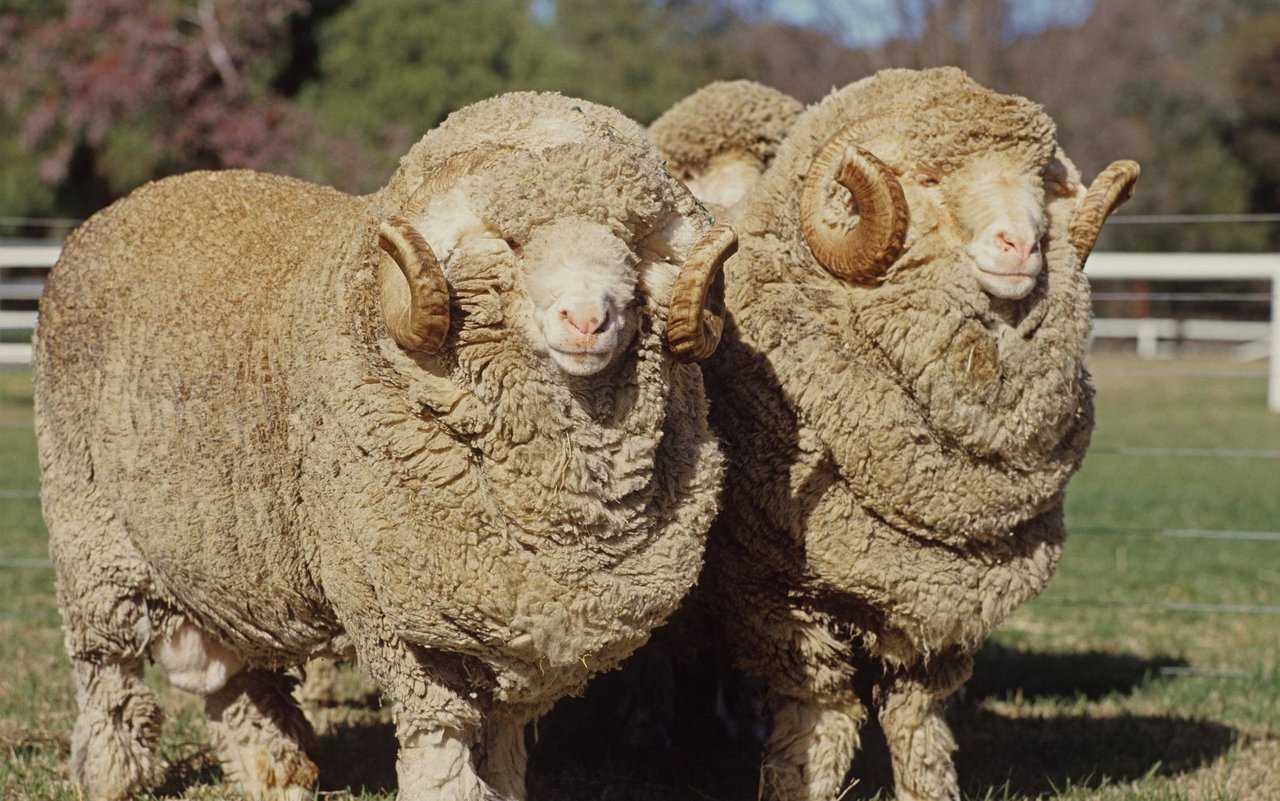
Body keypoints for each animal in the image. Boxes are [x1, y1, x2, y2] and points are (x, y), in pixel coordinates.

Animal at [35, 92, 737, 798]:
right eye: (509, 244)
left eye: (636, 247)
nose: (588, 320)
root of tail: (122, 206)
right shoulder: (411, 630)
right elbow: (443, 745)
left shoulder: (518, 640)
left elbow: (502, 746)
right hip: (92, 541)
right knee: (109, 676)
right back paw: (110, 776)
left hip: (225, 569)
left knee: (238, 684)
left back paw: (277, 774)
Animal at [691, 68, 1141, 798]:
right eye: (928, 178)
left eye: (1043, 182)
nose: (1022, 247)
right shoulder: (777, 601)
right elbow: (821, 722)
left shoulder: (941, 609)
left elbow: (917, 724)